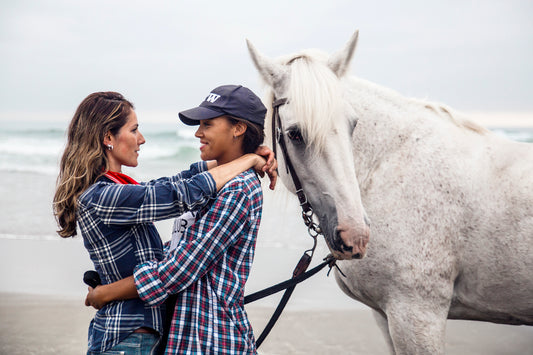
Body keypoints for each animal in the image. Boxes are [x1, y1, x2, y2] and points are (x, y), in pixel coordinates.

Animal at [246, 32, 532, 354]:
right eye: (295, 133)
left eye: (353, 125)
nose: (355, 236)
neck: (388, 164)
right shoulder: (387, 314)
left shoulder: (417, 313)